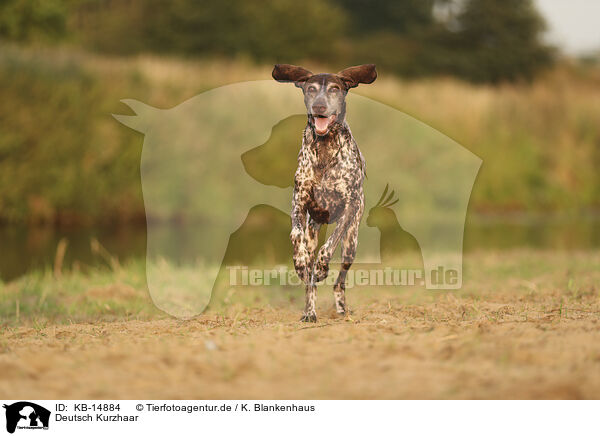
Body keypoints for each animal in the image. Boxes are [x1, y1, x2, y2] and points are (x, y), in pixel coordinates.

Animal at [270, 63, 376, 322]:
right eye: (311, 88)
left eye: (335, 89)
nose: (319, 107)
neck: (326, 146)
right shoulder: (299, 202)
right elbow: (296, 236)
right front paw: (300, 263)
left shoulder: (348, 207)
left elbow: (329, 246)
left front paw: (321, 267)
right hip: (314, 229)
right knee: (311, 284)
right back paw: (309, 311)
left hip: (351, 243)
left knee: (340, 281)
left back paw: (340, 307)